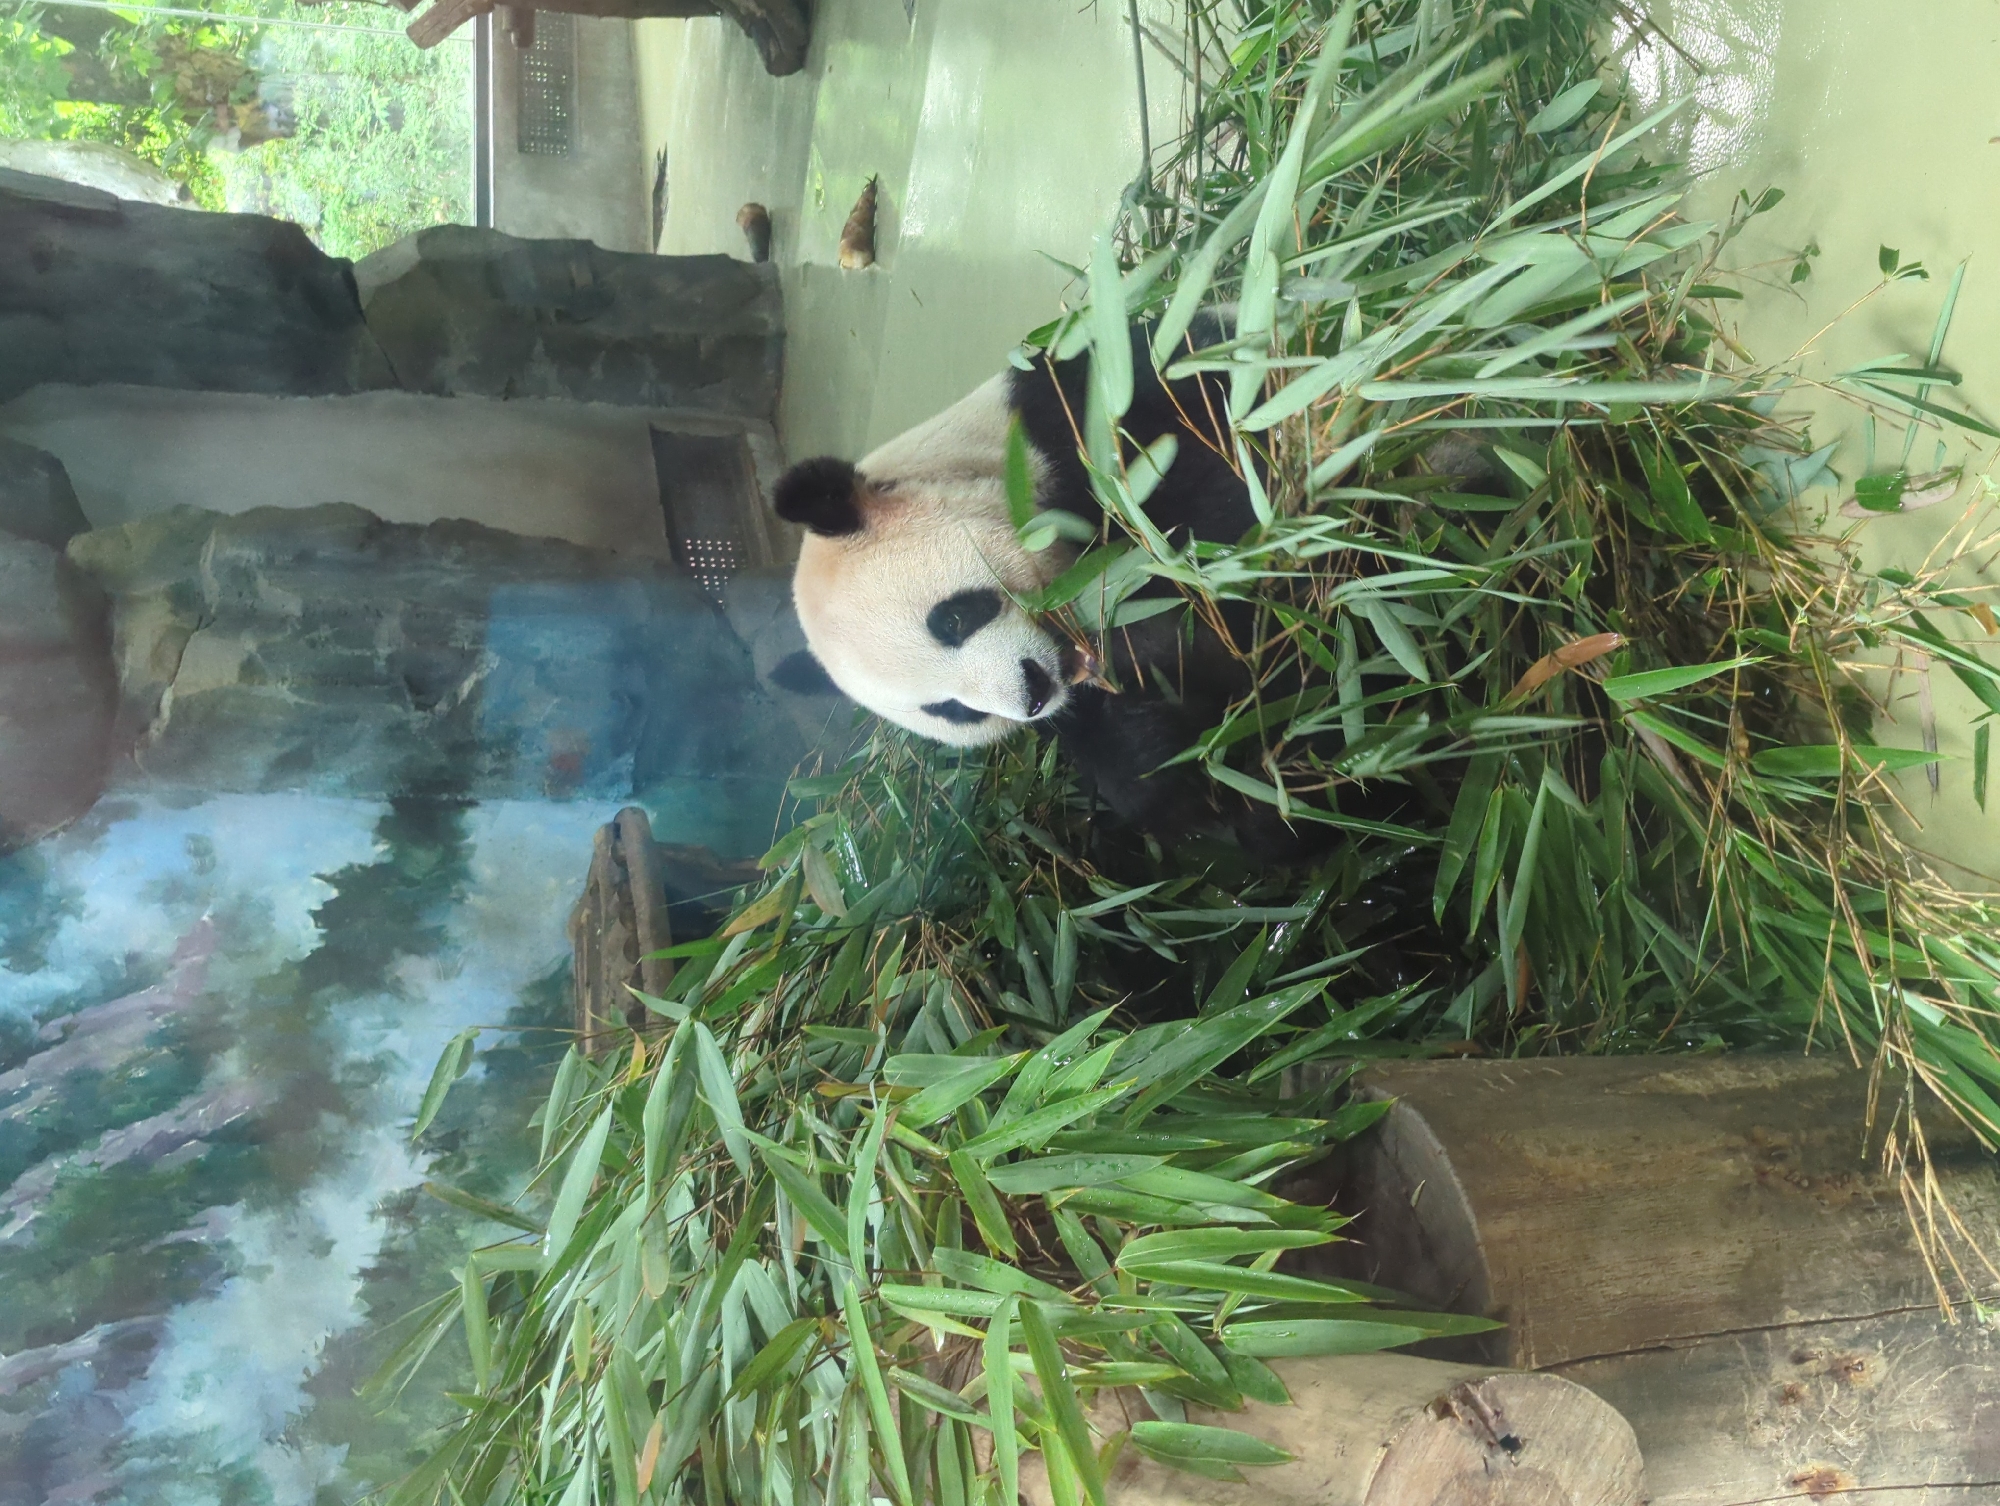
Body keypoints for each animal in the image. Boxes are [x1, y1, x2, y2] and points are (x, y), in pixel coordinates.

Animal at [769, 326, 1327, 864]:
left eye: (952, 620)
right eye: (953, 710)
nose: (1032, 694)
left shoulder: (1088, 414)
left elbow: (1219, 492)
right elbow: (1115, 745)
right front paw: (1176, 787)